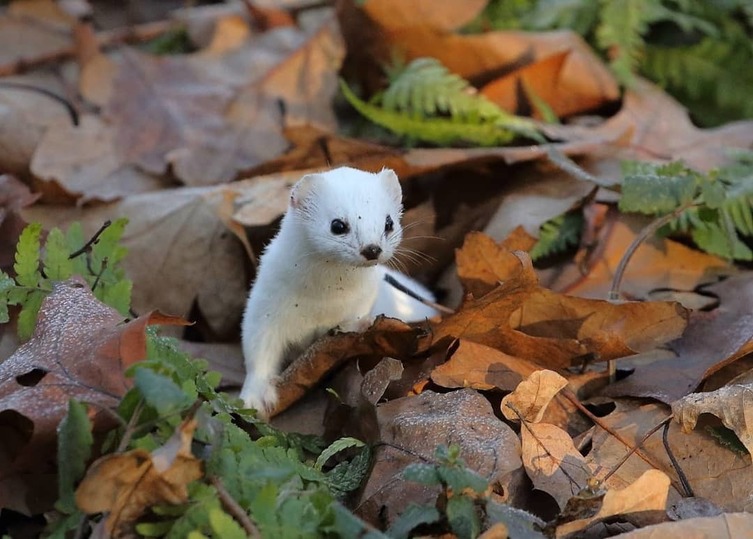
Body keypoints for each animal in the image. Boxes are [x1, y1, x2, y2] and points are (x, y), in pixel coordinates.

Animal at [238, 167, 432, 412]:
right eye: (337, 225)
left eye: (389, 223)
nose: (372, 248)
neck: (322, 300)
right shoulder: (265, 304)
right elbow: (258, 348)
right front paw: (255, 396)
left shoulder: (362, 300)